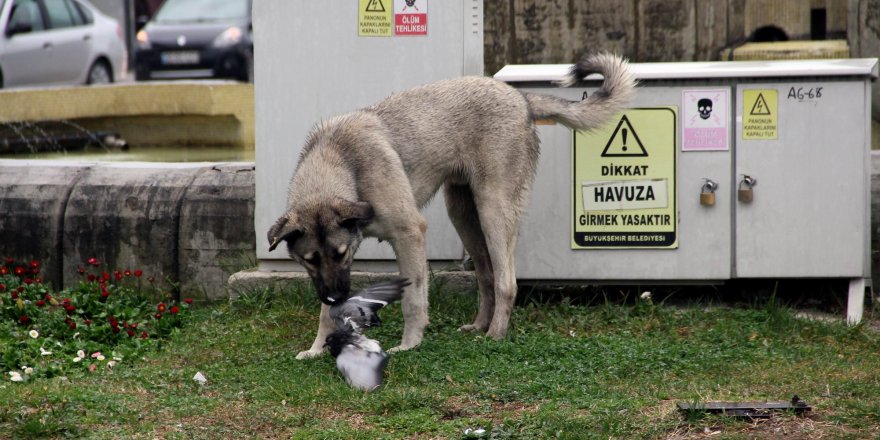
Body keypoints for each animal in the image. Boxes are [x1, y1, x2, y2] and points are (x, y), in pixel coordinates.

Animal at [264, 53, 636, 360]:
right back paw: (480, 325)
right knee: (487, 277)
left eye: (340, 253)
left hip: (493, 212)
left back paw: (496, 334)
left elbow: (413, 300)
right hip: (464, 217)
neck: (341, 160)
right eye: (309, 260)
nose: (334, 296)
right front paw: (317, 348)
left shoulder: (409, 235)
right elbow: (325, 313)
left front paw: (410, 344)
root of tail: (520, 98)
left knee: (506, 282)